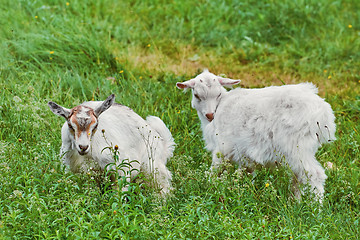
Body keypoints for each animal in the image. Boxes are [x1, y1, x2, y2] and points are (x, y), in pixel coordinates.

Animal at [48, 94, 176, 195]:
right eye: (70, 125)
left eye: (95, 125)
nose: (83, 147)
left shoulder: (121, 169)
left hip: (152, 167)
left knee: (163, 186)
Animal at [177, 69, 338, 201]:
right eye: (196, 95)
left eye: (218, 94)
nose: (210, 115)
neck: (220, 106)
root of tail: (323, 113)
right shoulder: (244, 154)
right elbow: (246, 174)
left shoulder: (222, 148)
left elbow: (214, 171)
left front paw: (207, 186)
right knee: (298, 176)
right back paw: (295, 202)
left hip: (296, 146)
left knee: (314, 174)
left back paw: (315, 208)